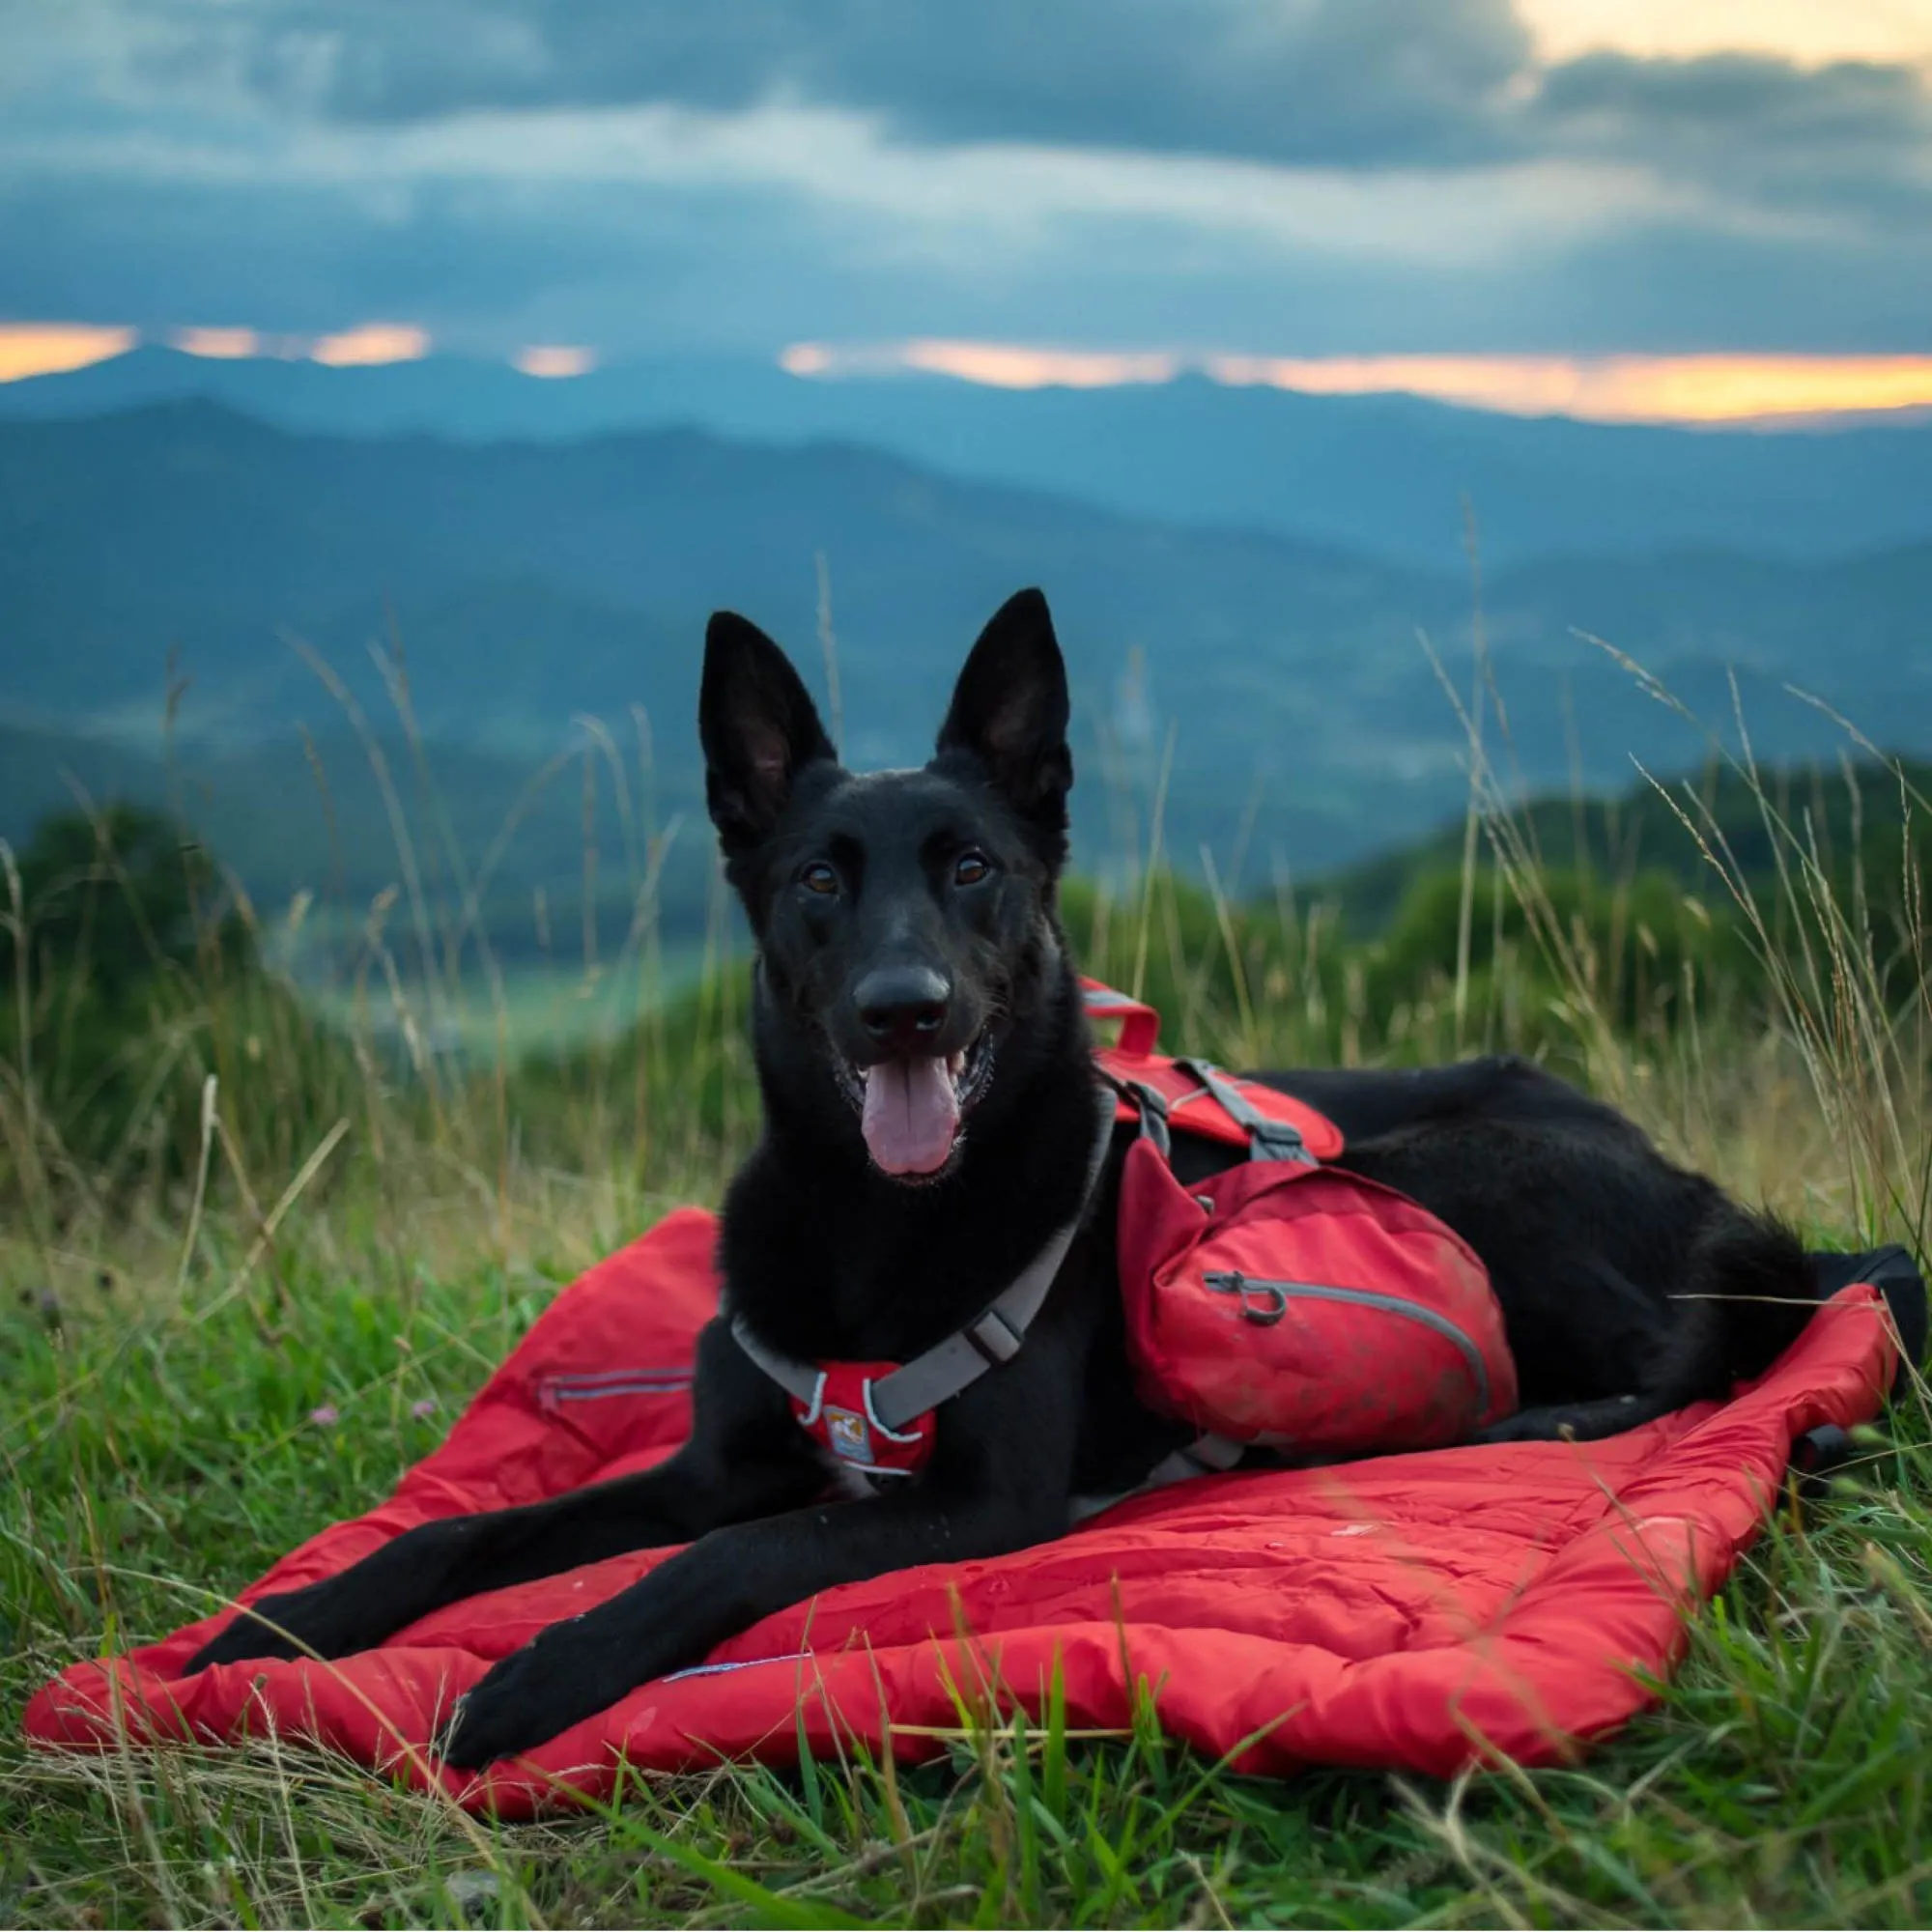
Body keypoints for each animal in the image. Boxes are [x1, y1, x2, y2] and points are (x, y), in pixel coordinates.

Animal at [188, 583, 1816, 1770]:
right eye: (819, 880)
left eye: (972, 868)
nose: (903, 1008)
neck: (873, 1222)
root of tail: (1692, 1180)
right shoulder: (720, 1463)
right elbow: (466, 1529)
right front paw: (279, 1628)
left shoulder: (978, 1503)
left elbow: (731, 1559)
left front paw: (542, 1672)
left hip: (1451, 1168)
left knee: (1704, 1351)